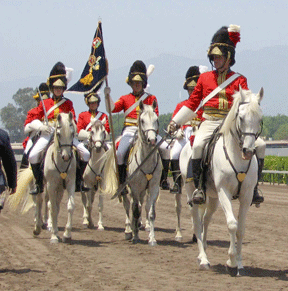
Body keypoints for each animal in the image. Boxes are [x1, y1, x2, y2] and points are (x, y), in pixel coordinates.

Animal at [44, 112, 77, 244]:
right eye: (58, 134)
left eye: (72, 133)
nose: (66, 156)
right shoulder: (51, 185)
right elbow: (52, 208)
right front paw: (54, 235)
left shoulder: (70, 183)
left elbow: (70, 206)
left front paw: (67, 234)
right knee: (45, 202)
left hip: (60, 189)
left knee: (57, 205)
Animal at [103, 101, 162, 246]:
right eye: (142, 120)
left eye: (156, 119)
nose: (152, 140)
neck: (146, 159)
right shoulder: (135, 188)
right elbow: (135, 211)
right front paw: (135, 236)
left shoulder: (153, 187)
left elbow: (150, 212)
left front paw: (152, 238)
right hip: (126, 188)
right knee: (127, 205)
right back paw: (129, 230)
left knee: (141, 205)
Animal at [191, 88, 264, 278]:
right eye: (241, 117)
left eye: (259, 118)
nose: (248, 151)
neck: (237, 156)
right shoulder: (224, 191)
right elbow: (232, 224)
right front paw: (230, 263)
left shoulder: (246, 195)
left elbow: (241, 228)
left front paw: (239, 264)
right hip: (192, 194)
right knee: (197, 222)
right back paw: (203, 259)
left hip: (213, 198)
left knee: (206, 220)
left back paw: (205, 252)